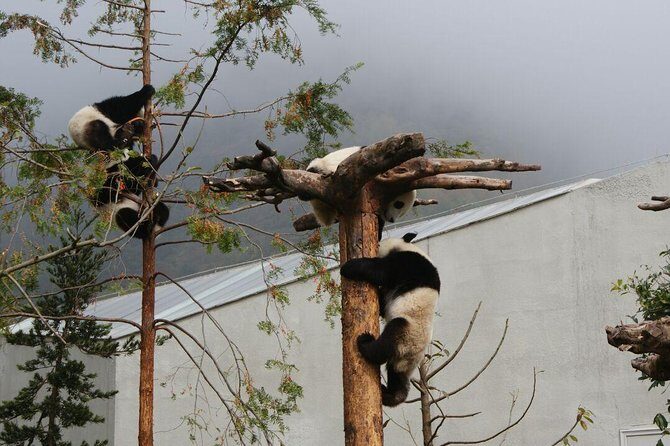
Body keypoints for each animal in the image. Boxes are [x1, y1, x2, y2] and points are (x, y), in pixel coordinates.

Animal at [68, 85, 169, 239]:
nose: (132, 128)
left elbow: (134, 184)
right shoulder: (109, 111)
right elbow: (123, 105)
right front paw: (147, 90)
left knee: (162, 208)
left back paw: (157, 216)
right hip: (88, 128)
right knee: (124, 216)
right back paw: (146, 228)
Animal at [340, 232, 440, 406]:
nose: (377, 245)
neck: (409, 246)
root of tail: (412, 353)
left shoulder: (408, 264)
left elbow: (381, 271)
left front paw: (348, 267)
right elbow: (383, 301)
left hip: (407, 330)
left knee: (386, 342)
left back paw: (365, 342)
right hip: (404, 359)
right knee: (397, 375)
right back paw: (393, 395)